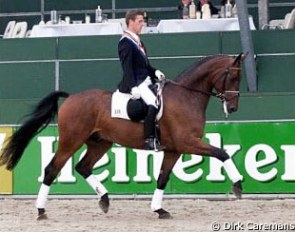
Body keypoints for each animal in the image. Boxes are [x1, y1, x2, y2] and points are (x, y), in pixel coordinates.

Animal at [0, 54, 245, 219]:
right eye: (233, 76)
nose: (233, 108)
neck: (186, 96)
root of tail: (70, 97)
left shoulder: (174, 150)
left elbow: (162, 178)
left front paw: (159, 209)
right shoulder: (188, 143)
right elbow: (222, 154)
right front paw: (238, 185)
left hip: (100, 143)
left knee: (83, 167)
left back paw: (104, 200)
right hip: (71, 141)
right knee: (52, 169)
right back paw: (41, 210)